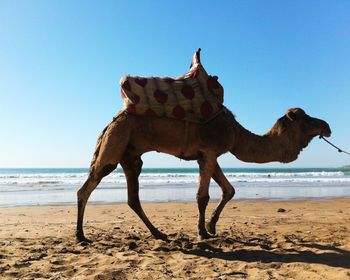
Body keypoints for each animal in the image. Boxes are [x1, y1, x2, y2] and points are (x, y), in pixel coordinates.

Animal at [76, 106, 330, 242]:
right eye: (305, 117)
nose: (327, 126)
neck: (236, 133)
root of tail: (110, 123)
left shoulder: (208, 155)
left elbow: (229, 190)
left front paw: (211, 227)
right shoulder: (208, 152)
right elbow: (203, 196)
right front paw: (202, 233)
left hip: (130, 156)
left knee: (133, 198)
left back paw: (159, 233)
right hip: (116, 144)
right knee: (87, 187)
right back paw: (81, 236)